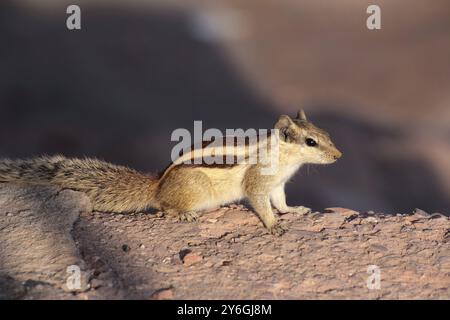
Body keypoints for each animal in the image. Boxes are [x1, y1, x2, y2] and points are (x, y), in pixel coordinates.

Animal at [0, 110, 340, 235]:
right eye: (311, 142)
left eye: (325, 133)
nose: (339, 155)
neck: (284, 157)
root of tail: (158, 185)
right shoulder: (258, 183)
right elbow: (261, 204)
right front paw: (273, 226)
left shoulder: (277, 184)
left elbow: (280, 201)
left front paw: (294, 210)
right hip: (194, 190)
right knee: (163, 207)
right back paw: (182, 213)